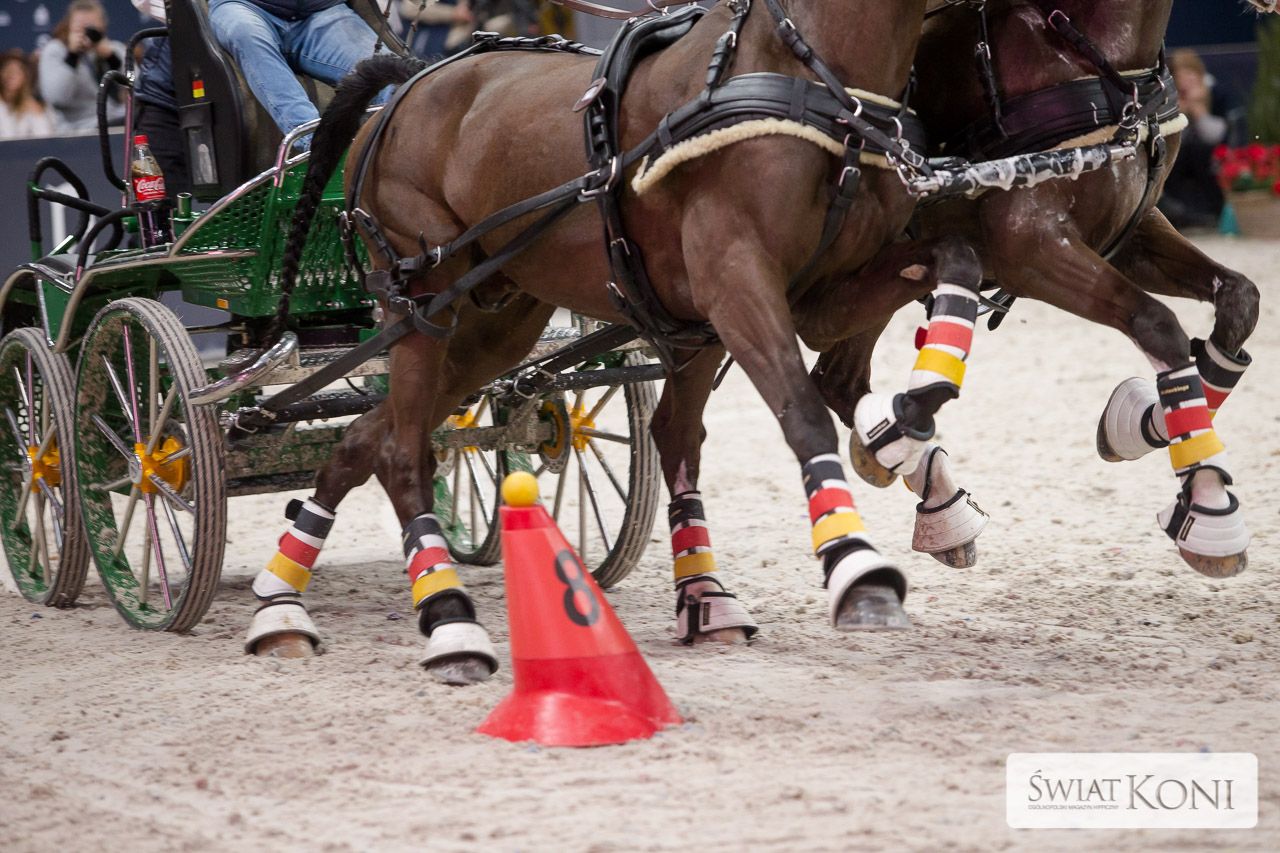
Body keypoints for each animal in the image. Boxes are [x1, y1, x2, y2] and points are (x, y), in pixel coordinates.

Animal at [240, 0, 996, 680]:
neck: (802, 72)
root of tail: (409, 82)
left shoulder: (822, 292)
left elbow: (956, 260)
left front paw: (916, 427)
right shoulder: (738, 279)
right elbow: (803, 412)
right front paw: (855, 563)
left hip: (496, 321)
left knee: (367, 435)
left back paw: (282, 597)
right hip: (423, 298)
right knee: (401, 452)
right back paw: (450, 620)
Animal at [814, 0, 1275, 578]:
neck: (1088, 60)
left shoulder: (1128, 233)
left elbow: (1239, 298)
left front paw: (1142, 424)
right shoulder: (1030, 247)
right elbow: (1157, 324)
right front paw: (1210, 507)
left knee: (838, 378)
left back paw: (926, 487)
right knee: (833, 374)